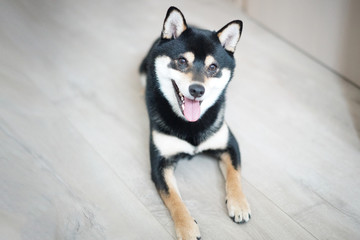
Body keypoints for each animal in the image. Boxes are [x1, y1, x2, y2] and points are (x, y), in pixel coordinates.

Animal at [139, 6, 252, 239]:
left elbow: (235, 176)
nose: (197, 90)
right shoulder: (160, 164)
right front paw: (187, 227)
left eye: (213, 67)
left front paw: (238, 204)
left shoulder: (228, 144)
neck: (191, 125)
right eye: (182, 61)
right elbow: (174, 199)